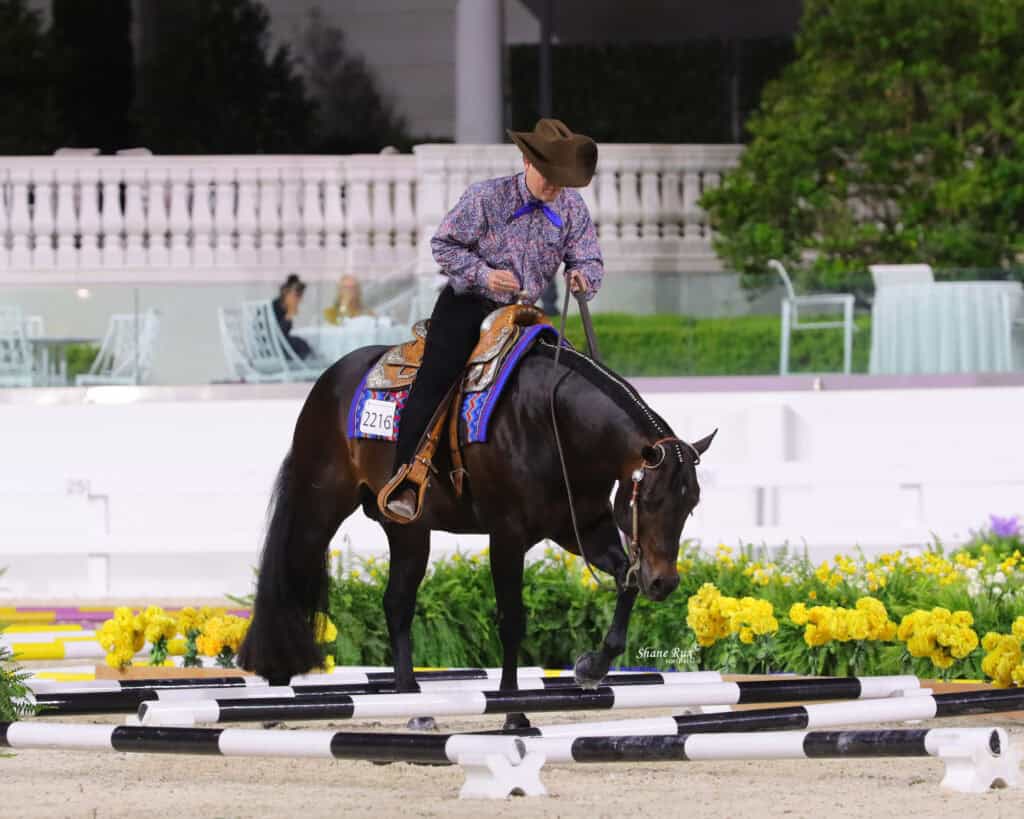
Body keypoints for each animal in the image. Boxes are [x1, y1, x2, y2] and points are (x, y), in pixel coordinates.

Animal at [237, 335, 714, 728]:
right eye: (648, 499)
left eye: (691, 505)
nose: (665, 582)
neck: (553, 422)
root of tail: (330, 379)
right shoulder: (507, 536)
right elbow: (512, 620)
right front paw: (514, 712)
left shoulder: (583, 530)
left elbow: (624, 582)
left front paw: (590, 667)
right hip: (322, 506)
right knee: (296, 570)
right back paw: (278, 684)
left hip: (408, 529)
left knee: (396, 604)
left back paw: (414, 704)